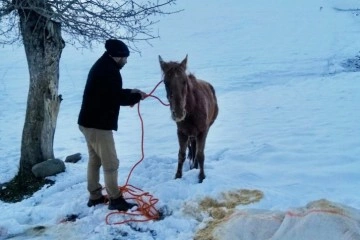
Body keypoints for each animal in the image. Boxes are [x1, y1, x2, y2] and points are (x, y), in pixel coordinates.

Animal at [158, 55, 219, 183]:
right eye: (165, 82)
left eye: (184, 81)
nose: (178, 113)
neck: (192, 109)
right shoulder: (182, 132)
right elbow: (181, 154)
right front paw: (178, 176)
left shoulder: (203, 131)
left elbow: (200, 154)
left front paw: (201, 177)